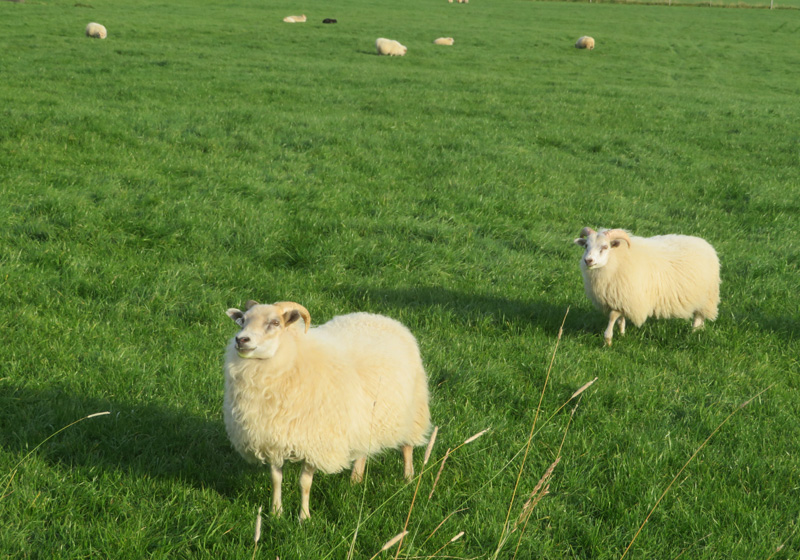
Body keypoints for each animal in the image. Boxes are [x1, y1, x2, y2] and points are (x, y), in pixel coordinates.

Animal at [222, 302, 432, 520]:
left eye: (275, 323)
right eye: (243, 320)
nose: (241, 340)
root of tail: (381, 318)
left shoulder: (315, 441)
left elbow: (304, 483)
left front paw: (304, 517)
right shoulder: (271, 438)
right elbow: (276, 479)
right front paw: (276, 512)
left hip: (412, 408)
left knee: (407, 446)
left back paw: (408, 477)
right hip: (365, 417)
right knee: (362, 451)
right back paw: (355, 480)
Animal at [572, 228, 720, 346]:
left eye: (605, 247)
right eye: (586, 245)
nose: (588, 260)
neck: (617, 259)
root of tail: (705, 244)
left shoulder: (627, 296)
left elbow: (613, 316)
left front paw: (607, 340)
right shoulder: (621, 297)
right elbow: (620, 319)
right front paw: (622, 333)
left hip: (706, 297)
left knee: (699, 316)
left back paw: (693, 333)